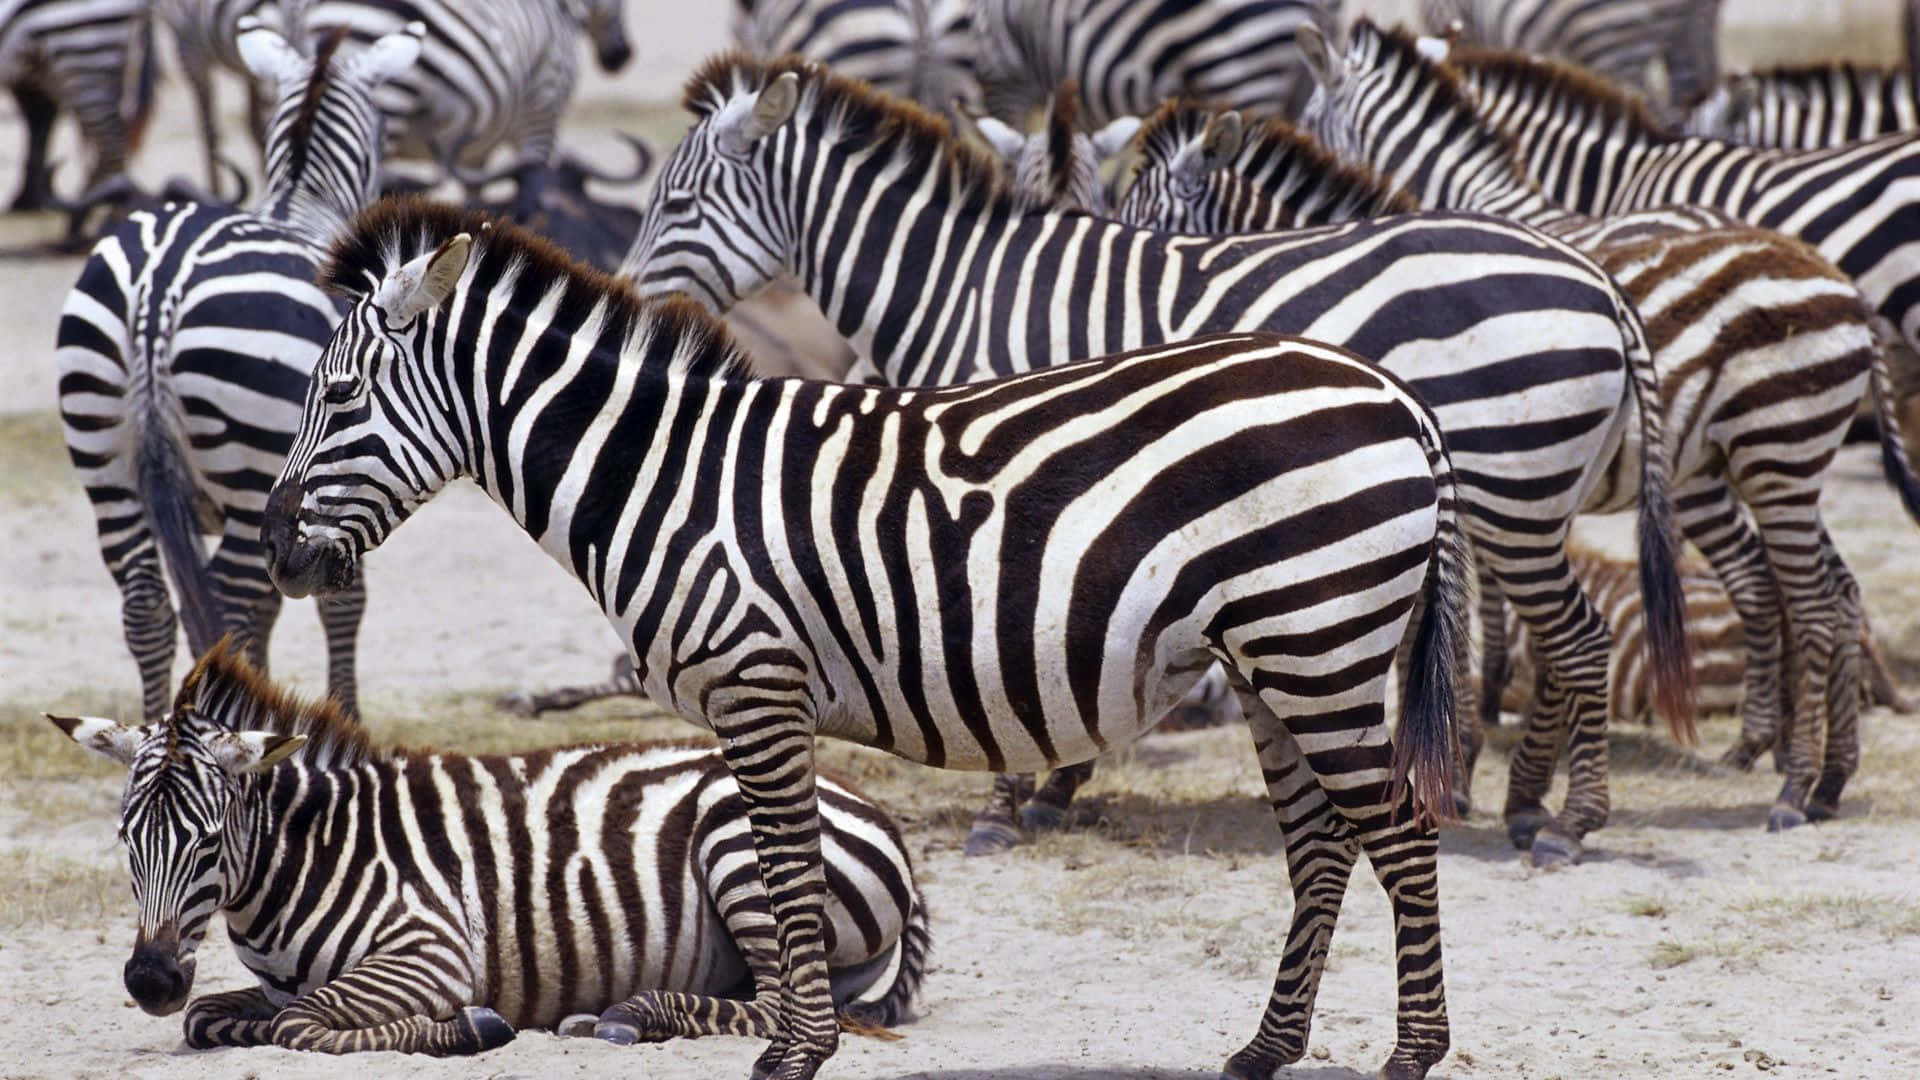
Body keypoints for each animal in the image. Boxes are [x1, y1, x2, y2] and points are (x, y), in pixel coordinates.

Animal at [51, 637, 930, 1053]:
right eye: (126, 841)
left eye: (206, 842)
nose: (150, 981)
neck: (312, 854)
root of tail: (874, 809)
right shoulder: (260, 987)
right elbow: (215, 1019)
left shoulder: (431, 952)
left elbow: (301, 1023)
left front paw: (467, 1029)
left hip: (737, 853)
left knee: (784, 1004)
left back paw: (628, 1014)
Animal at [54, 17, 421, 721]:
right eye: (387, 129)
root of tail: (159, 287)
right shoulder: (334, 478)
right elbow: (340, 602)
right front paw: (341, 716)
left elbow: (273, 607)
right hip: (248, 461)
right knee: (225, 602)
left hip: (104, 457)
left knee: (147, 604)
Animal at [261, 198, 1473, 1080]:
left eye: (342, 395)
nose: (274, 549)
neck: (662, 480)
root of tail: (1393, 393)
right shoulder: (761, 696)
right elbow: (782, 867)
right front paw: (802, 1041)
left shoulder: (757, 683)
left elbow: (790, 868)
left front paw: (796, 1054)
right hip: (1274, 661)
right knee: (1320, 847)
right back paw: (1266, 1049)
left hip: (1321, 641)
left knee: (1400, 831)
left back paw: (1411, 1054)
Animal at [621, 56, 1695, 867]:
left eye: (675, 202)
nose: (626, 297)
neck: (959, 285)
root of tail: (1594, 278)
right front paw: (1052, 788)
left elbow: (1003, 636)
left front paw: (1009, 804)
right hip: (1519, 498)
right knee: (1555, 641)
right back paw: (1520, 805)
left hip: (1512, 490)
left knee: (1580, 639)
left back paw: (1567, 822)